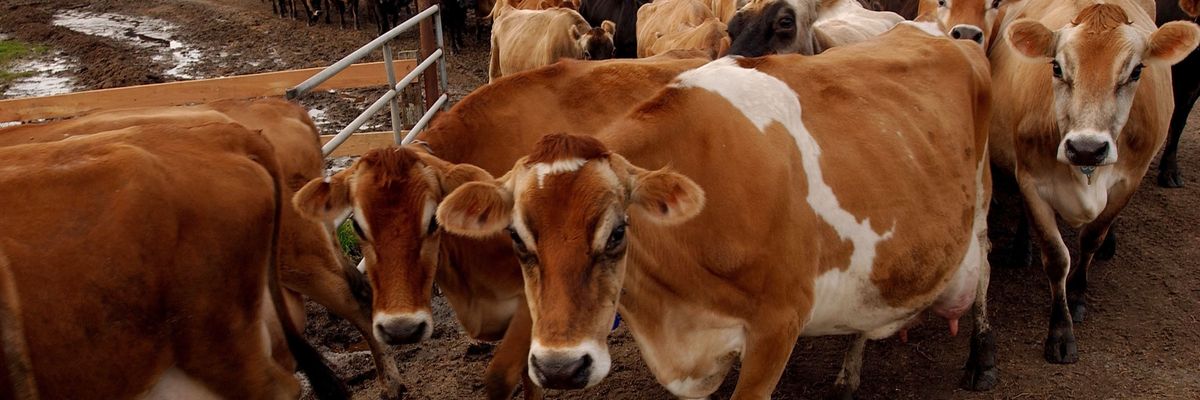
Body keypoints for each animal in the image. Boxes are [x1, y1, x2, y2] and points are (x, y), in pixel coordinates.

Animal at [437, 24, 995, 398]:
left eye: (617, 233)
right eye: (516, 238)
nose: (559, 368)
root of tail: (948, 34)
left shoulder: (777, 327)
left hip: (982, 206)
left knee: (986, 271)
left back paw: (981, 360)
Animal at [989, 0, 1199, 363]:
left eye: (1136, 71)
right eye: (1056, 67)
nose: (1087, 147)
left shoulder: (1130, 180)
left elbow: (1091, 237)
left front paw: (1077, 295)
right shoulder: (1031, 180)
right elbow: (1056, 256)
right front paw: (1060, 333)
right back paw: (1020, 248)